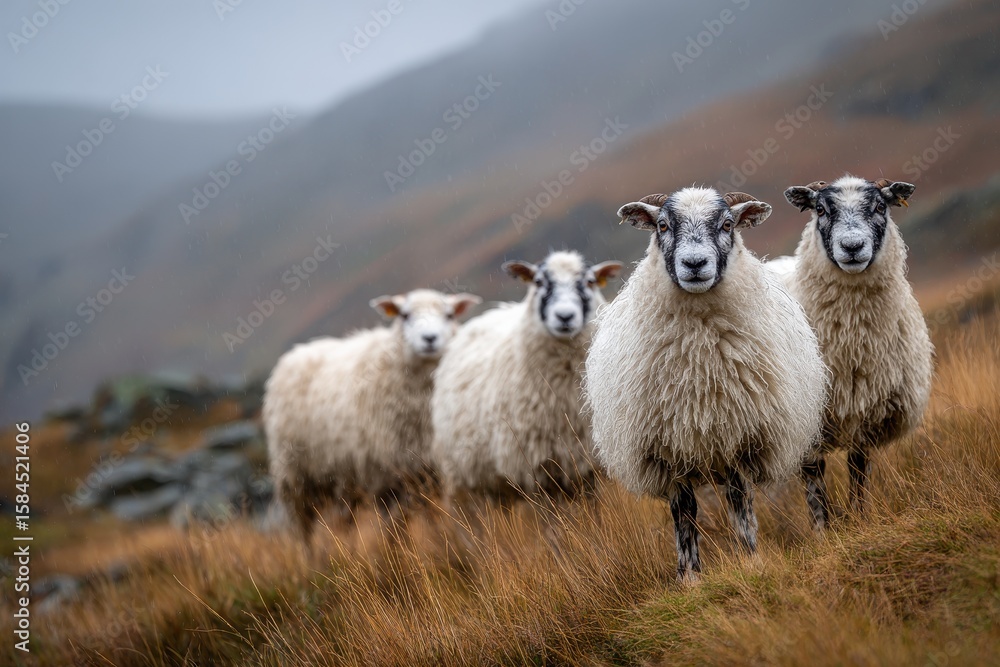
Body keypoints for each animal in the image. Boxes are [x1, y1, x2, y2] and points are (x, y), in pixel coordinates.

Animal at [263, 288, 481, 540]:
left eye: (449, 315)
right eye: (405, 315)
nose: (429, 338)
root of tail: (299, 350)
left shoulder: (428, 470)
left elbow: (432, 517)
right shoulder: (385, 475)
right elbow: (395, 525)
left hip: (341, 478)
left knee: (344, 521)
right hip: (294, 473)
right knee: (303, 527)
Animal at [431, 251, 622, 513]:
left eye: (590, 282)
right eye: (538, 282)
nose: (564, 316)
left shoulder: (586, 466)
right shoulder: (535, 471)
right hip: (461, 476)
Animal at [584, 188, 827, 581]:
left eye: (728, 224)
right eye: (662, 225)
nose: (695, 264)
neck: (698, 363)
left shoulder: (737, 437)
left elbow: (740, 502)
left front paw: (751, 560)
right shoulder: (668, 450)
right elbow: (684, 513)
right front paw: (689, 577)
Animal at [781, 175, 933, 529]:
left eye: (880, 206)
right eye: (820, 210)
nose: (852, 247)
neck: (853, 340)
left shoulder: (868, 410)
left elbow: (858, 466)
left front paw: (860, 517)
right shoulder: (806, 417)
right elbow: (814, 476)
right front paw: (822, 530)